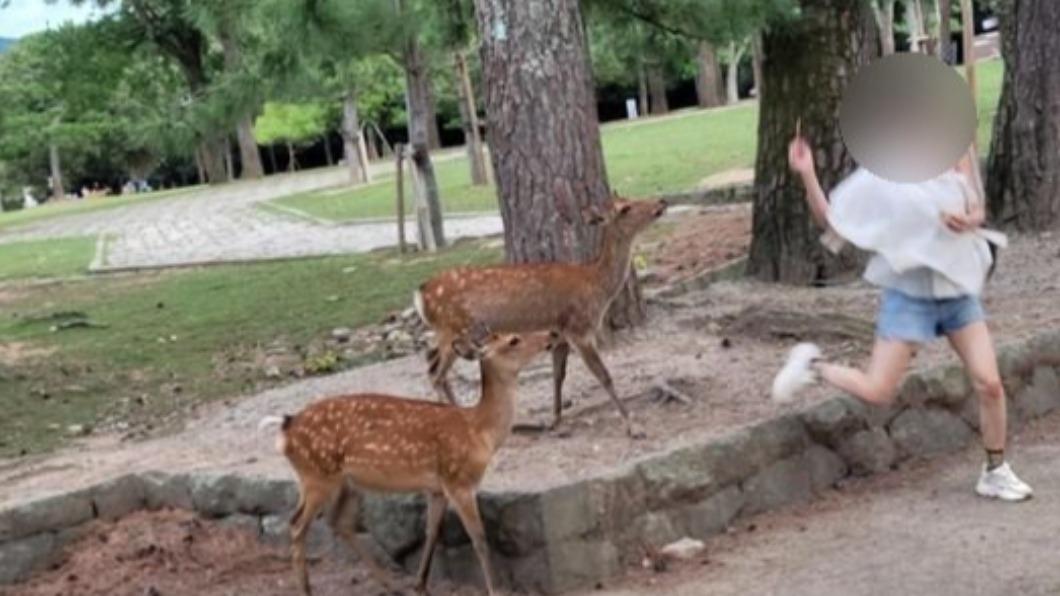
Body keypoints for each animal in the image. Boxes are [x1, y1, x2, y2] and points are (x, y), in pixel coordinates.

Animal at [260, 330, 556, 596]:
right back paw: (307, 589)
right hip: (317, 475)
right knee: (297, 525)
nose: (551, 335)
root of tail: (286, 429)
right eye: (513, 339)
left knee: (338, 523)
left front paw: (420, 585)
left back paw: (390, 585)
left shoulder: (437, 488)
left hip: (345, 482)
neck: (480, 432)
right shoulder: (458, 479)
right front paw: (495, 590)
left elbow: (431, 532)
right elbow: (479, 538)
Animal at [414, 197, 668, 438]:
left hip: (449, 334)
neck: (596, 285)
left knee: (432, 363)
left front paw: (556, 422)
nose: (661, 202)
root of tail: (421, 294)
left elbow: (558, 376)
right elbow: (604, 375)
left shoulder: (559, 334)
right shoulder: (579, 328)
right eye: (625, 208)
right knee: (436, 374)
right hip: (453, 328)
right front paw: (634, 427)